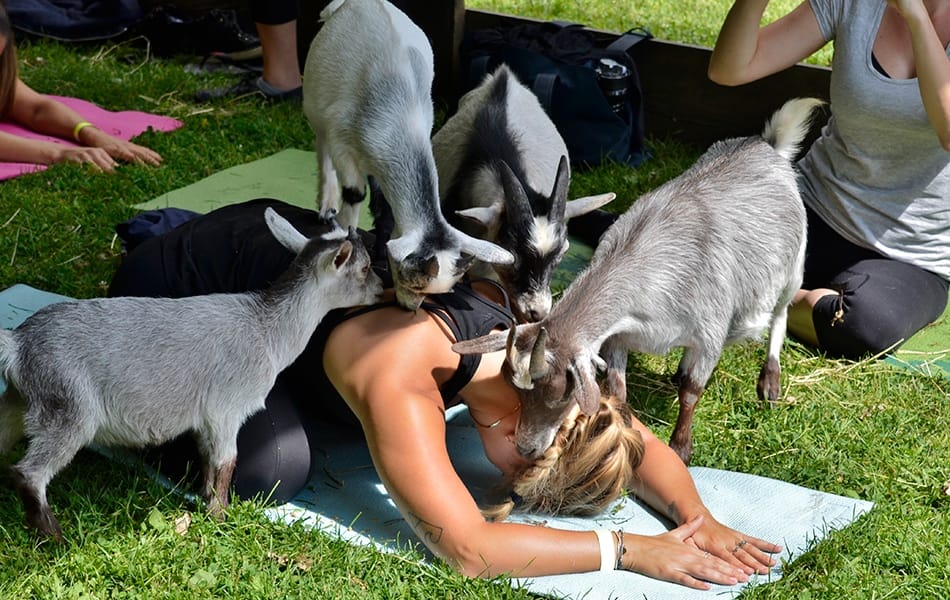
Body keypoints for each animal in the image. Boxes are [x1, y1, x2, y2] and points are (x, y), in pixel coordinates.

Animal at [0, 209, 386, 540]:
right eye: (365, 267)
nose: (384, 289)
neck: (268, 330)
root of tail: (19, 344)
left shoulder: (205, 419)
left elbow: (206, 459)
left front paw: (203, 498)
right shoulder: (227, 410)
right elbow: (227, 462)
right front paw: (221, 517)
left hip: (20, 401)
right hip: (69, 410)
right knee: (29, 472)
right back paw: (52, 535)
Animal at [304, 0, 512, 310]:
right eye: (409, 278)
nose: (408, 308)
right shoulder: (342, 140)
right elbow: (354, 192)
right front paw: (342, 234)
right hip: (316, 101)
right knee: (322, 147)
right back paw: (327, 204)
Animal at [454, 98, 824, 464]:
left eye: (559, 394)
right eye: (514, 387)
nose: (525, 448)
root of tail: (768, 144)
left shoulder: (711, 333)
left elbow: (692, 392)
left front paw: (681, 448)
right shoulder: (619, 337)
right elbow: (619, 390)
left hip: (794, 265)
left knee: (781, 313)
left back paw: (770, 381)